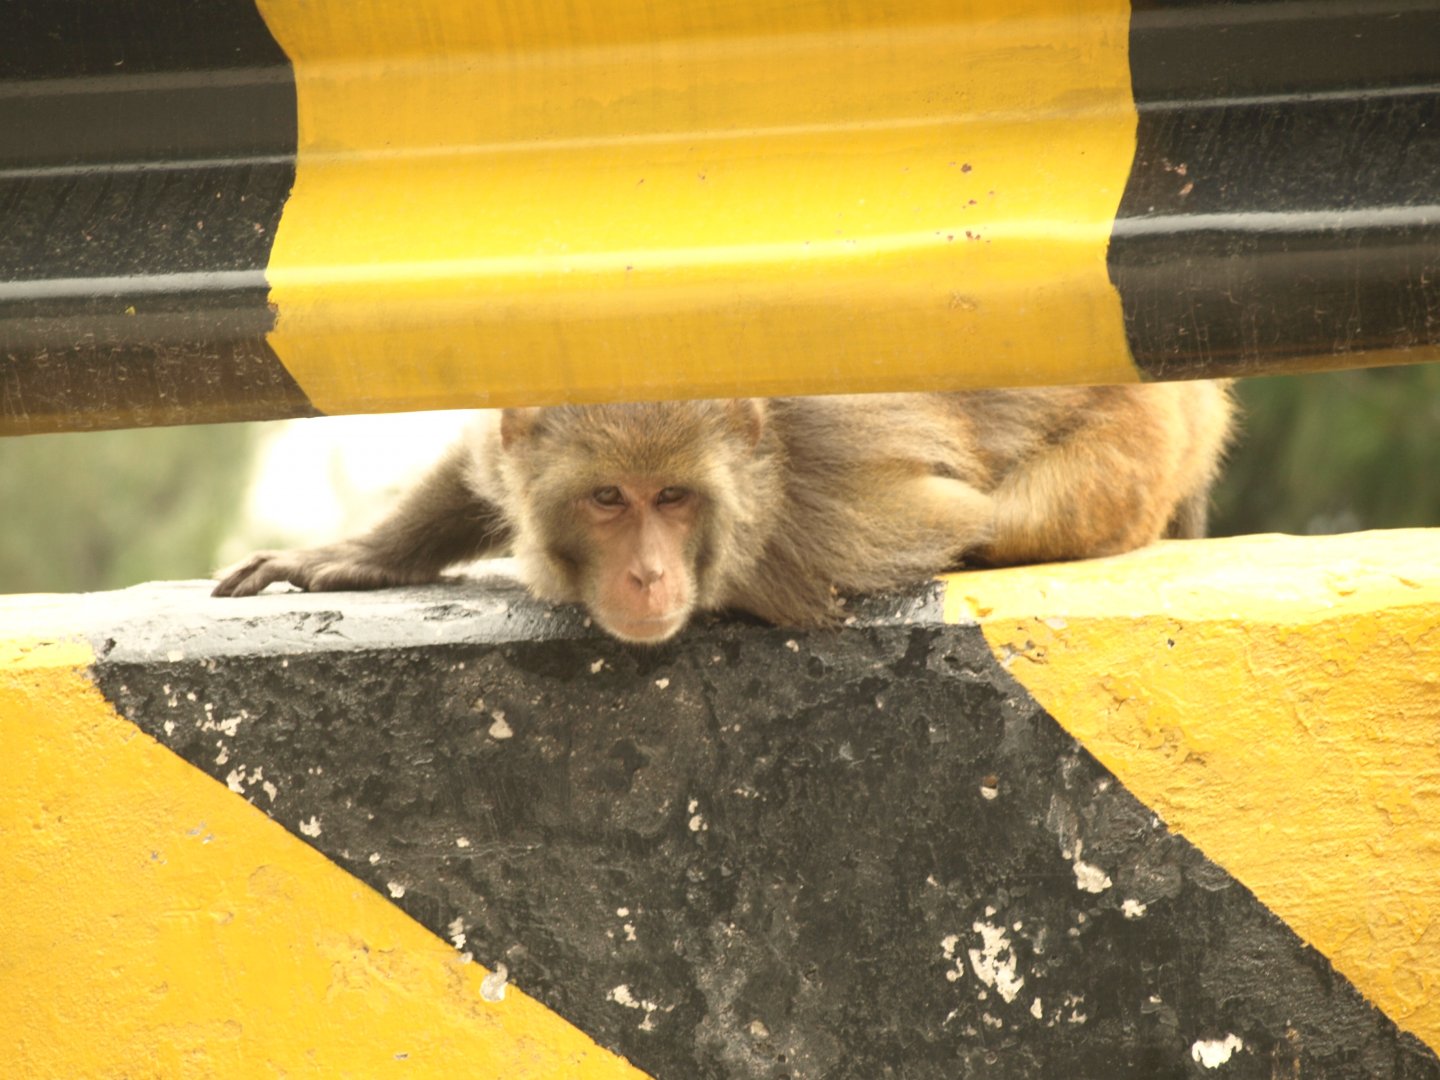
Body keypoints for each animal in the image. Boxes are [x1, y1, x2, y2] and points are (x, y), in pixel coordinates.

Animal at [213, 383, 1233, 644]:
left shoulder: (834, 526)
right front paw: (363, 554)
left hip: (1131, 455)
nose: (649, 572)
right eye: (608, 498)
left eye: (673, 497)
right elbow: (483, 460)